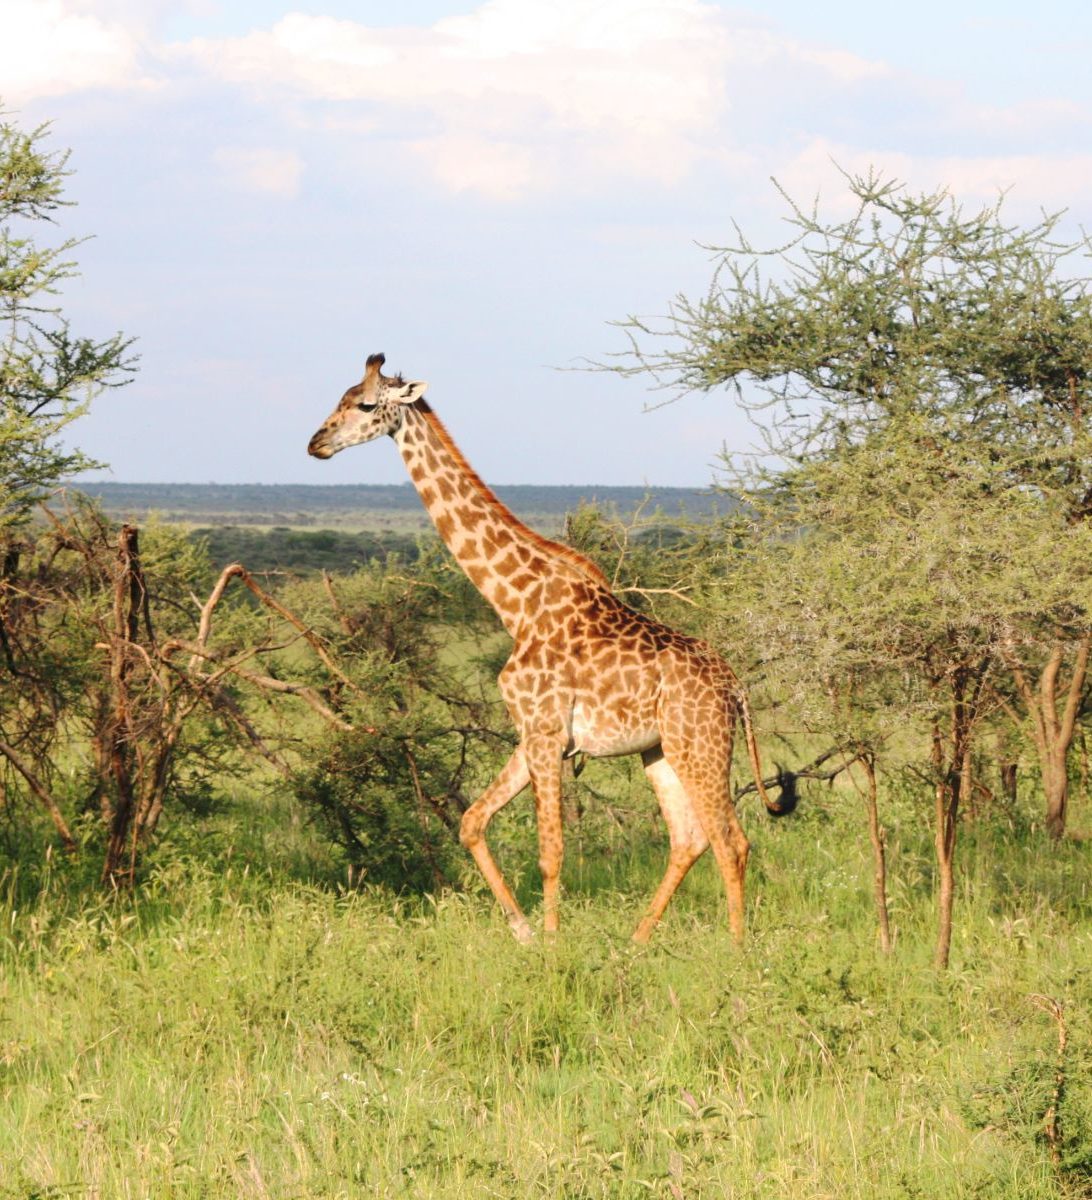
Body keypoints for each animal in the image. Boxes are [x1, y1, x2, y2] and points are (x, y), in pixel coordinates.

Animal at [307, 353, 795, 944]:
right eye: (339, 397)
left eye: (364, 404)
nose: (316, 443)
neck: (516, 601)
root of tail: (737, 690)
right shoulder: (535, 735)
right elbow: (471, 822)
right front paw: (523, 931)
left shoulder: (544, 733)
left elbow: (551, 851)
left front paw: (552, 945)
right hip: (658, 750)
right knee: (689, 837)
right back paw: (636, 944)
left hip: (698, 744)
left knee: (731, 840)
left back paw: (735, 950)